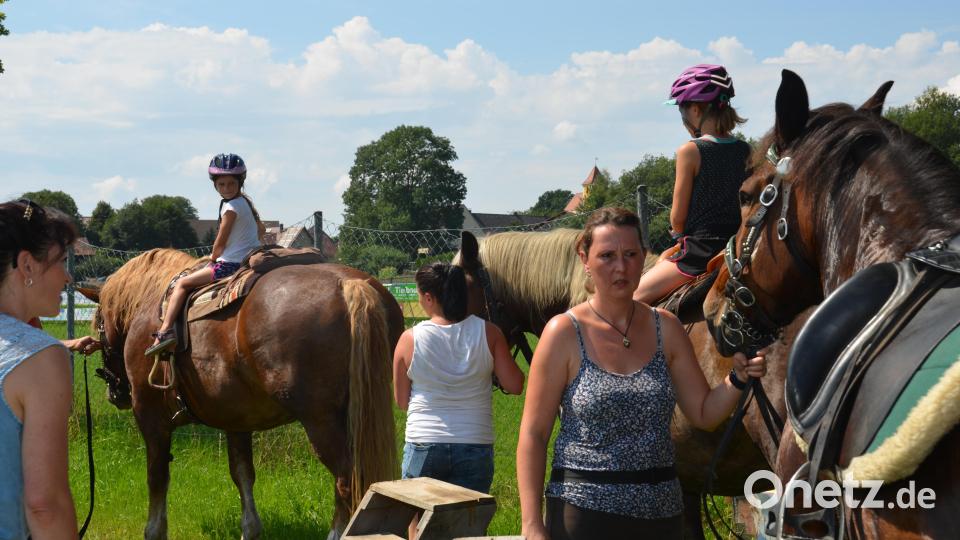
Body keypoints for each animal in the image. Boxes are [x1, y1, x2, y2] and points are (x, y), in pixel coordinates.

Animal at [81, 249, 403, 540]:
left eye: (98, 325)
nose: (115, 392)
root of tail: (351, 285)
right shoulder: (236, 421)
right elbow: (243, 473)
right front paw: (250, 529)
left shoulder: (151, 418)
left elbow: (157, 477)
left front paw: (154, 530)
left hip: (321, 420)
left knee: (347, 480)